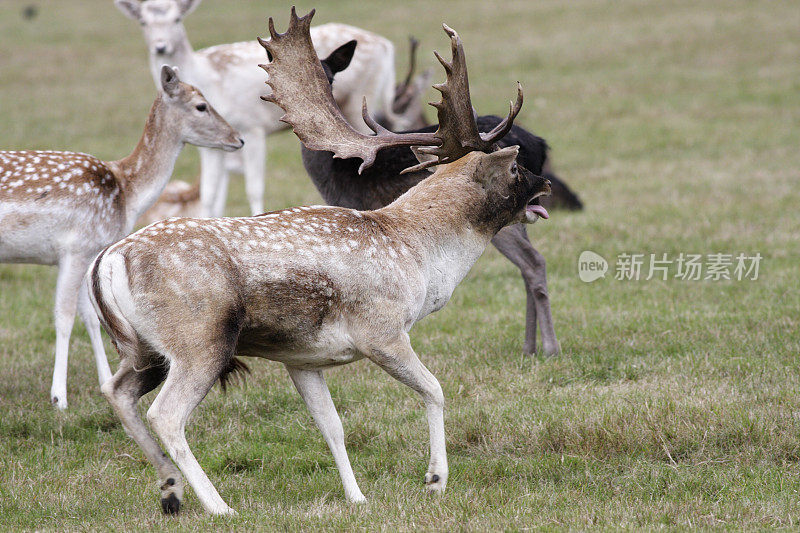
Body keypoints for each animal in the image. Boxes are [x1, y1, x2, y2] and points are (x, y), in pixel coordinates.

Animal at [0, 66, 241, 408]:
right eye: (201, 106)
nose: (238, 138)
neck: (126, 192)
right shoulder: (75, 248)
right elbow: (64, 316)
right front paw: (59, 398)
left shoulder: (91, 253)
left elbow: (91, 316)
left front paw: (103, 380)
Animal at [117, 0, 412, 217]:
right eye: (142, 21)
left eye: (177, 19)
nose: (160, 47)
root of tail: (388, 45)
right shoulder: (211, 145)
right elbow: (210, 195)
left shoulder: (252, 127)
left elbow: (254, 188)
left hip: (361, 101)